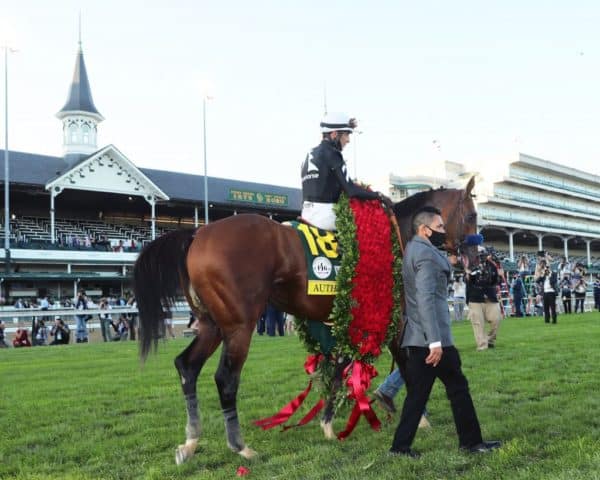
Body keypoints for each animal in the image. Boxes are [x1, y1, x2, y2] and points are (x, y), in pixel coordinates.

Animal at [135, 177, 478, 464]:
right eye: (473, 216)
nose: (475, 260)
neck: (395, 239)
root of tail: (198, 232)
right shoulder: (398, 320)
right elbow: (408, 368)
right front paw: (420, 417)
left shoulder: (345, 324)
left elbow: (339, 368)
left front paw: (327, 423)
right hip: (239, 326)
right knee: (225, 378)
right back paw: (241, 446)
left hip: (212, 325)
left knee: (187, 366)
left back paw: (190, 442)